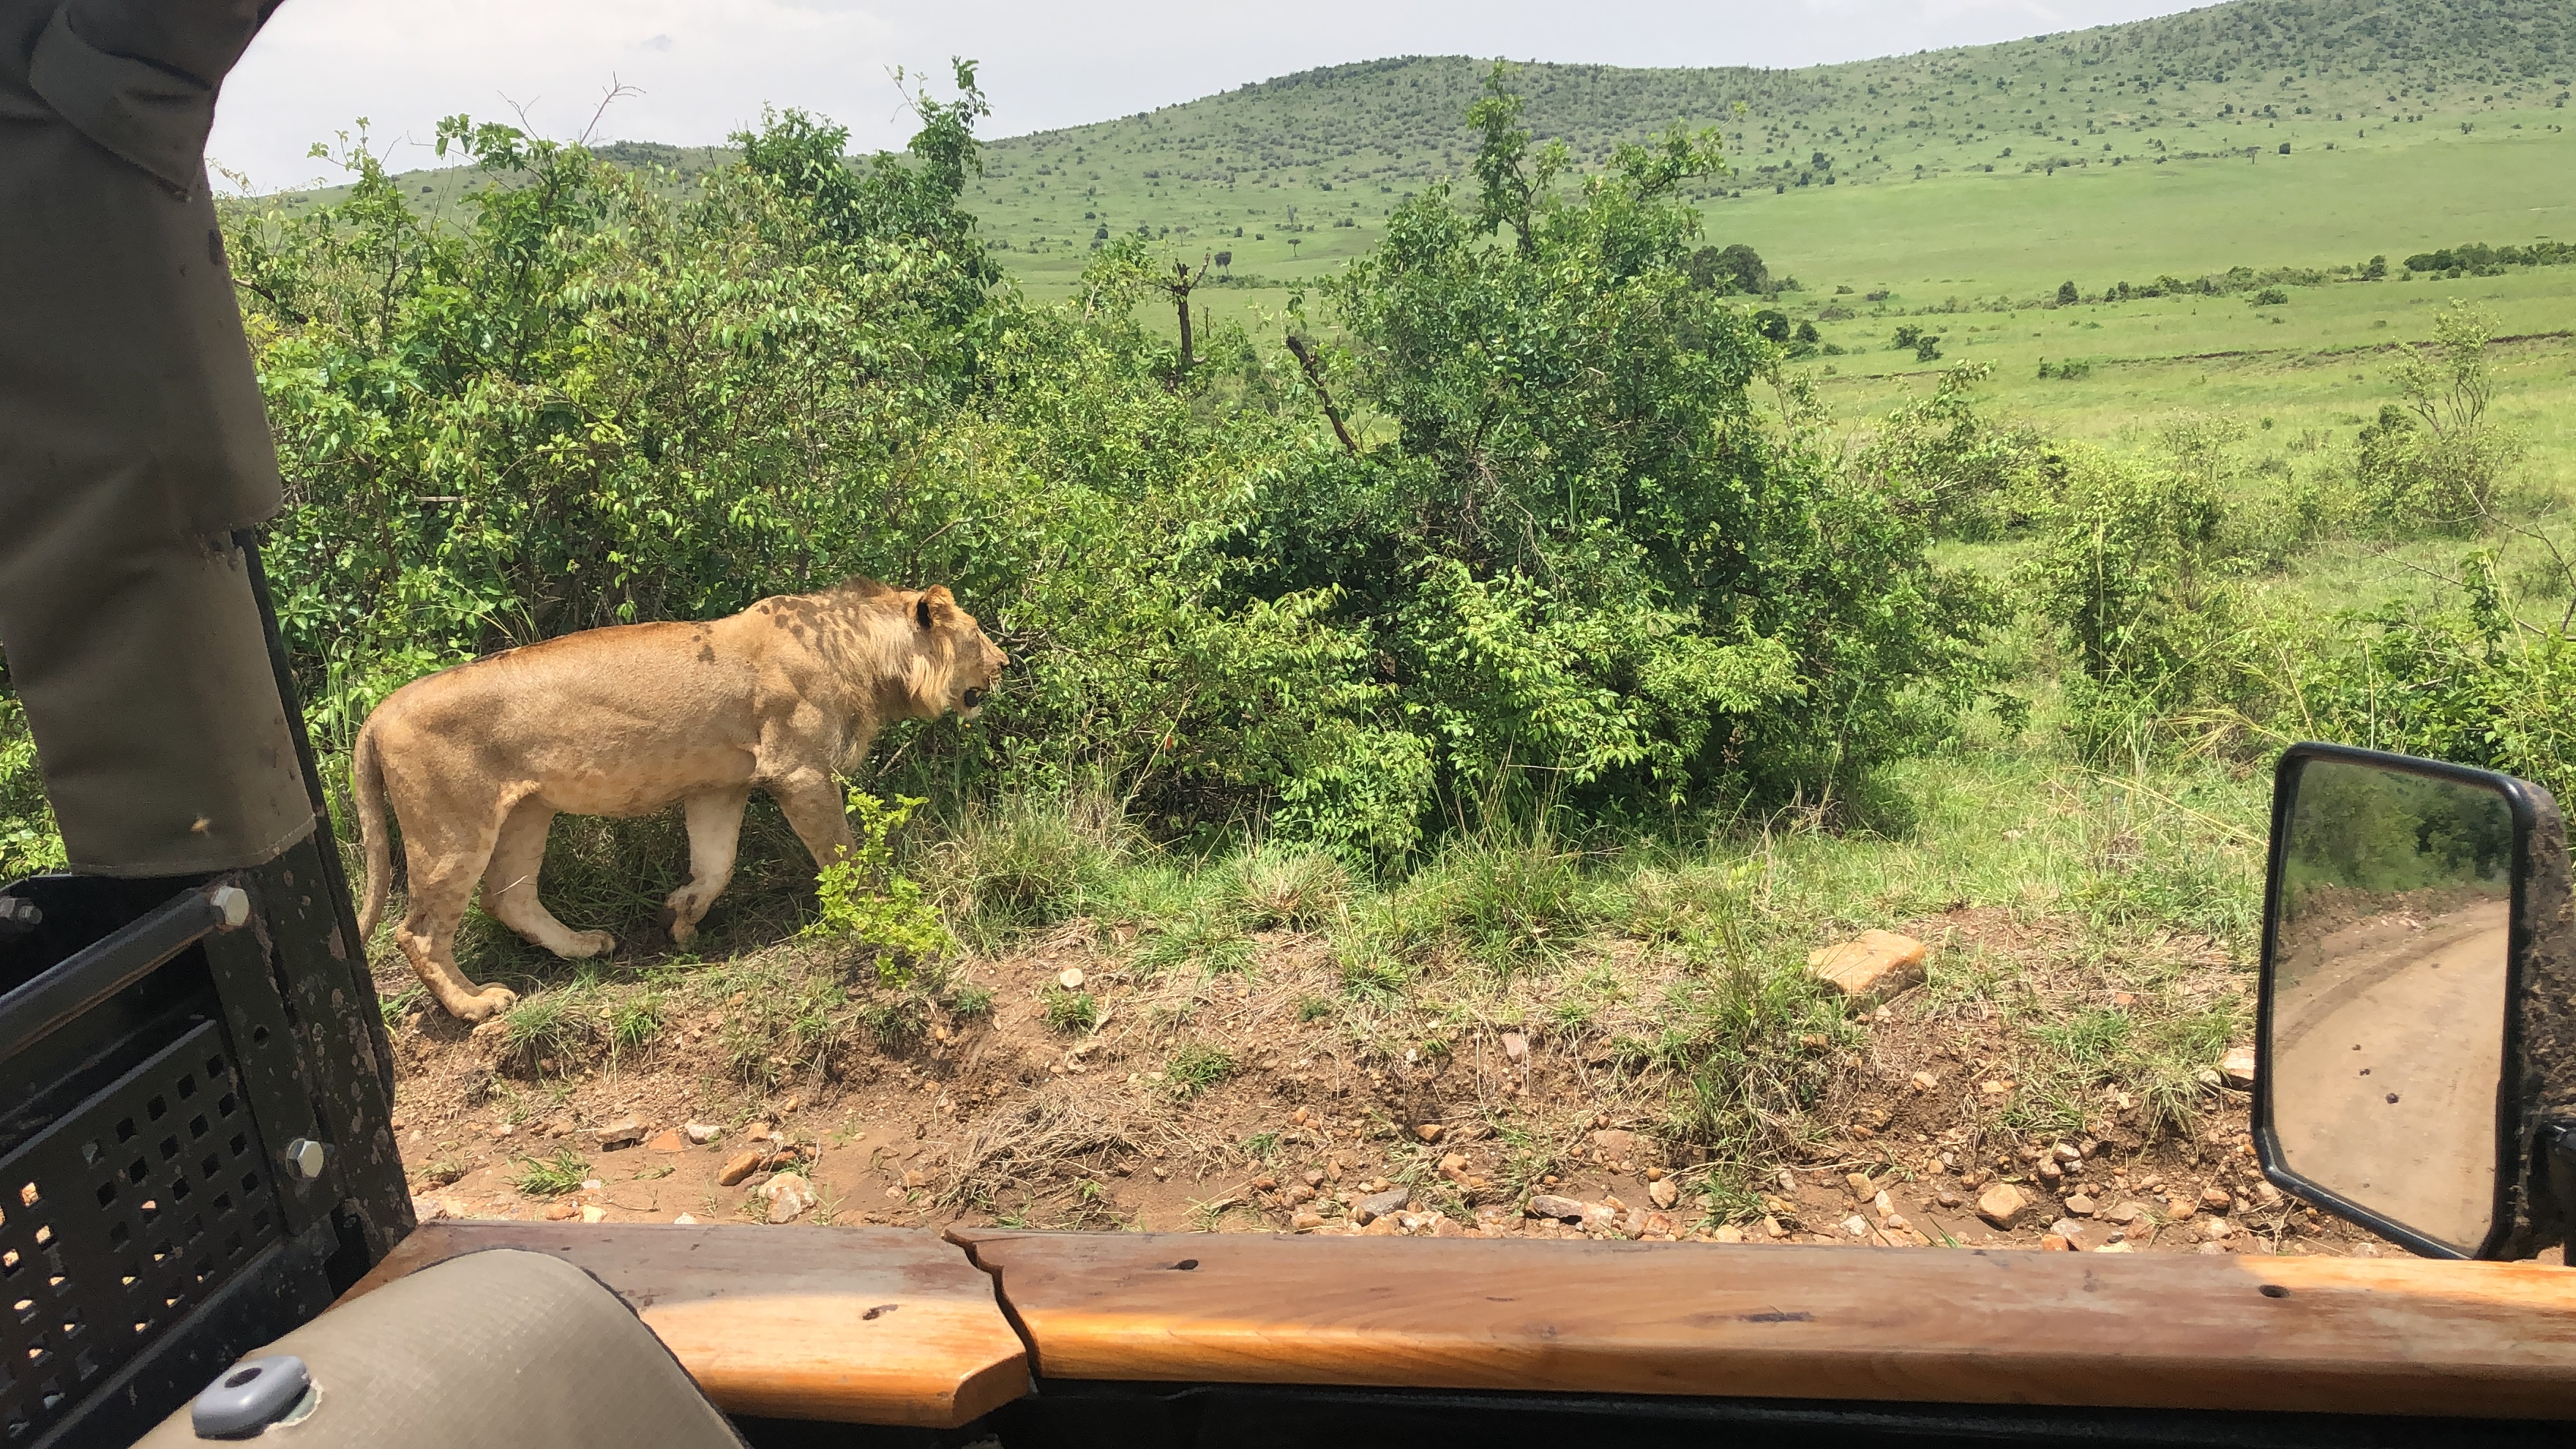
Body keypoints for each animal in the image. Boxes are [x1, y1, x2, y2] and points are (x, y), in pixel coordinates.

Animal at [352, 579, 1005, 1022]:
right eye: (977, 634)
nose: (1004, 664)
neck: (862, 654)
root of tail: (378, 713)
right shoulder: (799, 772)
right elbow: (843, 857)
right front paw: (877, 912)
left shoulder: (720, 785)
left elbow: (716, 865)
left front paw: (681, 917)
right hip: (453, 829)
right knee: (418, 932)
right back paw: (474, 1005)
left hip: (527, 812)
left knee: (509, 899)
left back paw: (586, 946)